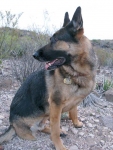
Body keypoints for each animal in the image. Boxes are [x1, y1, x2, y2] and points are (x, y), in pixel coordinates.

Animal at [0, 6, 97, 149]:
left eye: (54, 40)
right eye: (51, 39)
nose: (34, 54)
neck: (76, 74)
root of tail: (11, 124)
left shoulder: (71, 102)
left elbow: (73, 112)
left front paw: (76, 123)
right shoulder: (56, 105)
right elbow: (55, 129)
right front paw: (59, 146)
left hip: (46, 112)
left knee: (42, 127)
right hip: (43, 112)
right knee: (37, 129)